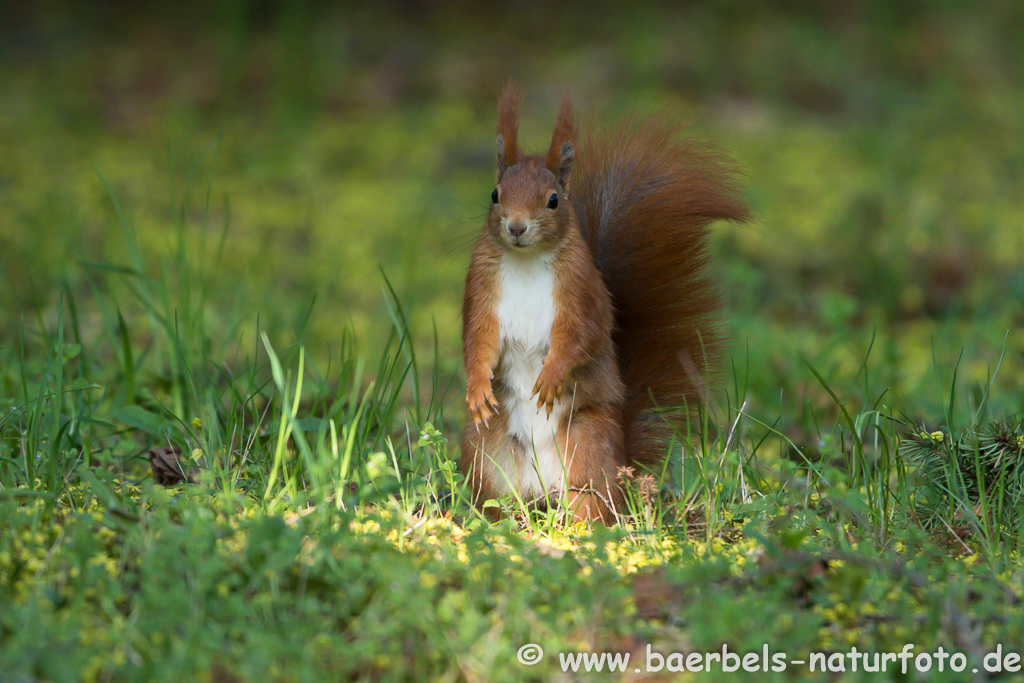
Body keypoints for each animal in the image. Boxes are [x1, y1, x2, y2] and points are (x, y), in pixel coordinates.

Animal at [460, 85, 749, 524]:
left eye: (554, 200)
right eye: (495, 194)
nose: (516, 227)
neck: (526, 262)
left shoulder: (582, 292)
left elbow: (583, 335)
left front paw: (551, 376)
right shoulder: (482, 291)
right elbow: (478, 340)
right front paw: (477, 389)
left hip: (588, 444)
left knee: (593, 500)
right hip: (487, 452)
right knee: (496, 496)